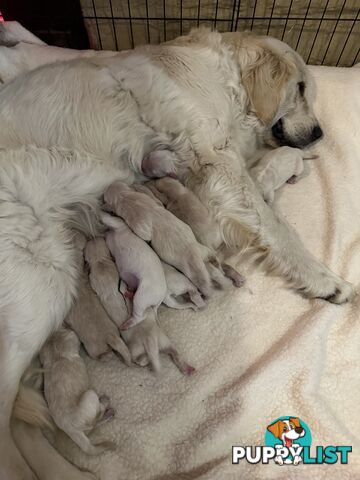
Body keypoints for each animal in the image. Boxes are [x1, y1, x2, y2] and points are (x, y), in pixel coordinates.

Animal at [39, 328, 115, 456]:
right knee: (97, 416)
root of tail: (71, 428)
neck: (58, 357)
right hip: (90, 395)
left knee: (93, 426)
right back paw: (106, 404)